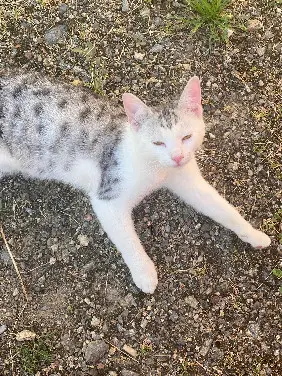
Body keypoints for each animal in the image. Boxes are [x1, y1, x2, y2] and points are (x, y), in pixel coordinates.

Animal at [0, 72, 270, 294]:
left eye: (186, 137)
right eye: (158, 143)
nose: (177, 156)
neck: (157, 170)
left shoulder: (189, 181)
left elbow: (223, 208)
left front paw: (253, 234)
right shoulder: (108, 199)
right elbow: (128, 241)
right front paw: (144, 273)